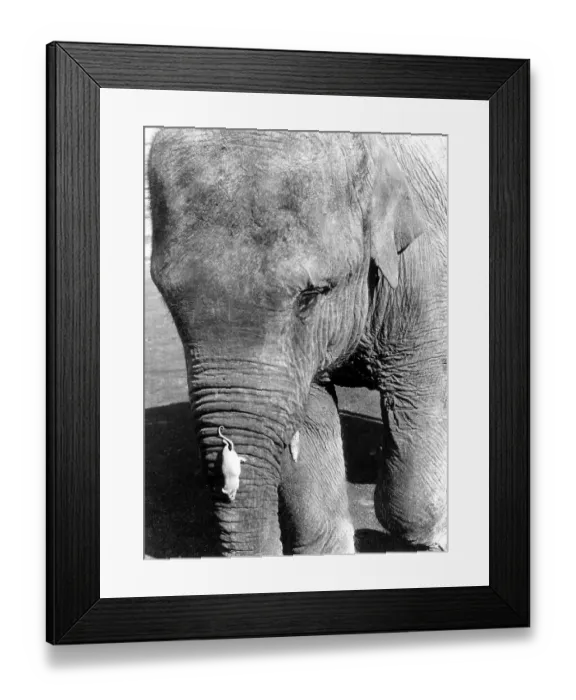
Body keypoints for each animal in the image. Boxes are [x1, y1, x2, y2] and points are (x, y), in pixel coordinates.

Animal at [148, 128, 447, 556]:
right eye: (169, 302)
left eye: (311, 295)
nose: (228, 452)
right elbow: (310, 414)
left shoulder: (421, 274)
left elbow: (415, 394)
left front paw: (435, 540)